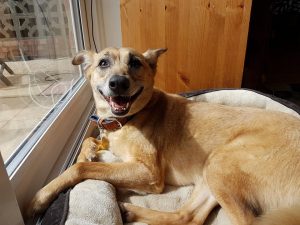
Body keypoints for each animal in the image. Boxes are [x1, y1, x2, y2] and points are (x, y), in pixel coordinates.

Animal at [28, 46, 300, 224]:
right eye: (103, 63)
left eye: (135, 62)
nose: (118, 83)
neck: (128, 120)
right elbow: (89, 142)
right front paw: (89, 152)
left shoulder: (149, 172)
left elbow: (81, 168)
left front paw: (41, 196)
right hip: (210, 174)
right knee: (188, 217)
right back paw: (132, 212)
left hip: (221, 163)